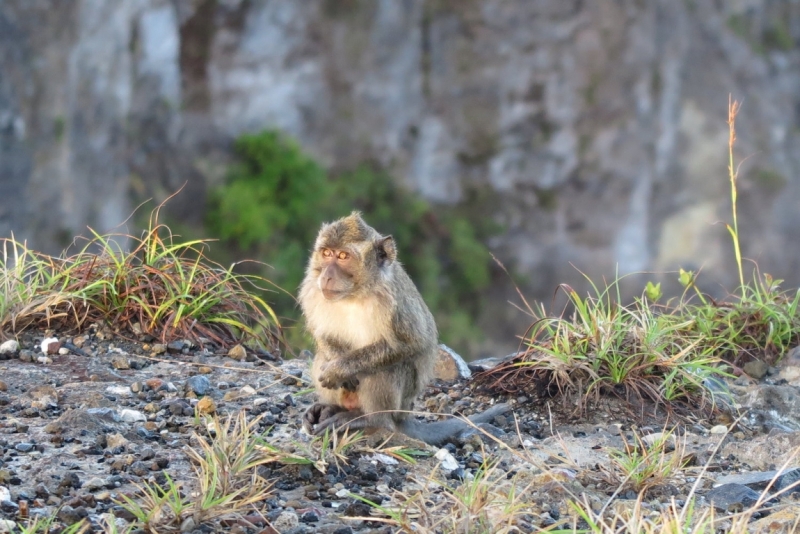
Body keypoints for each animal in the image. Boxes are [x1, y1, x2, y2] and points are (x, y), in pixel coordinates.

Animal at [296, 211, 510, 446]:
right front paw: (336, 363)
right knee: (322, 357)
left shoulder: (395, 306)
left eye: (343, 256)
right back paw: (329, 408)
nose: (326, 275)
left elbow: (408, 345)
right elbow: (323, 335)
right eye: (326, 253)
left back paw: (367, 419)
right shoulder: (311, 289)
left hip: (398, 405)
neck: (356, 293)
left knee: (388, 369)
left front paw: (339, 369)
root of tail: (403, 415)